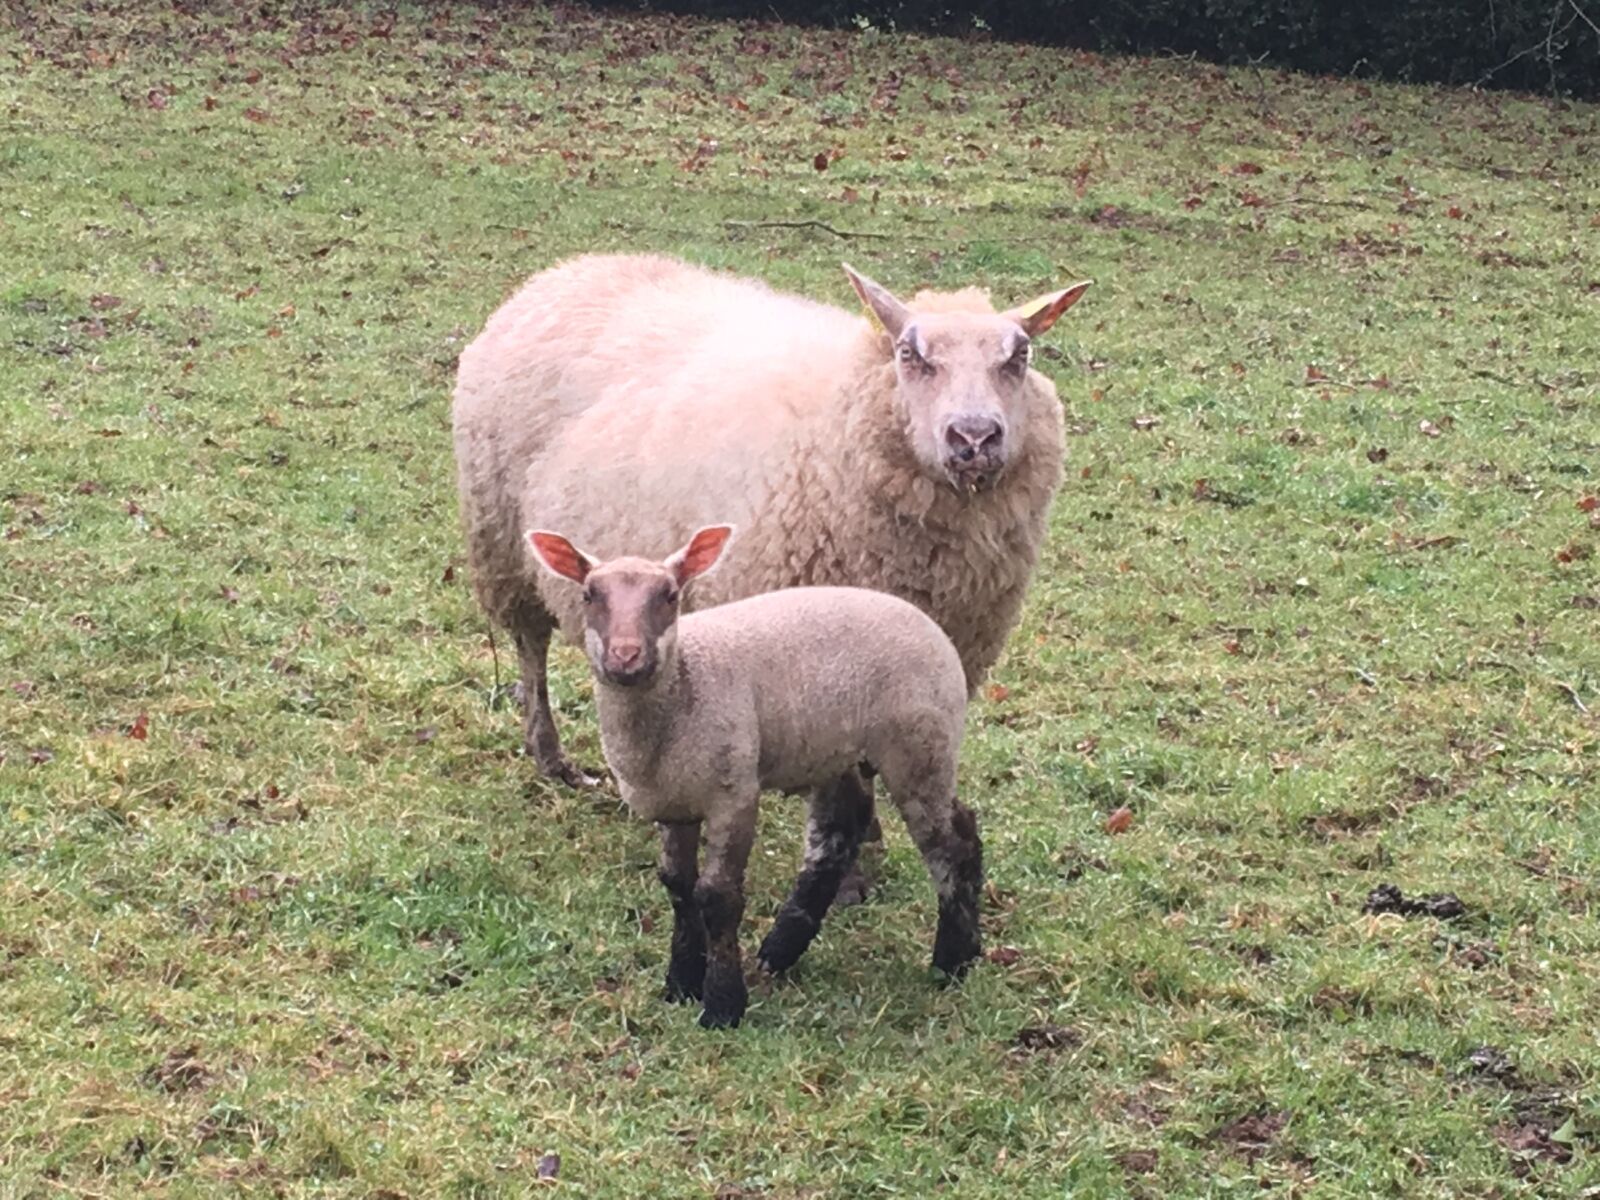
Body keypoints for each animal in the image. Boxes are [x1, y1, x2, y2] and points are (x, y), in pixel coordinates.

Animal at [452, 254, 1091, 789]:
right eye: (910, 355)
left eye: (1019, 356)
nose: (974, 438)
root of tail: (564, 271)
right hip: (502, 542)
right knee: (530, 649)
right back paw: (551, 755)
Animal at [526, 523, 983, 1029]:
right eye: (589, 595)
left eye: (670, 595)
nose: (626, 657)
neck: (684, 686)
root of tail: (930, 626)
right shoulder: (675, 802)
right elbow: (678, 886)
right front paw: (681, 981)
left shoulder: (734, 793)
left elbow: (717, 896)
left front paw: (723, 1005)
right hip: (835, 749)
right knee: (839, 835)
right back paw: (782, 950)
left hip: (920, 744)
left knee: (952, 842)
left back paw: (953, 960)